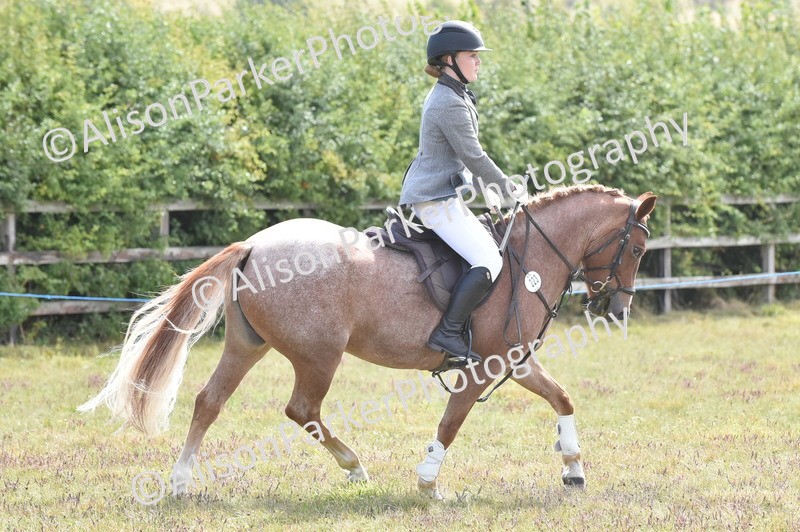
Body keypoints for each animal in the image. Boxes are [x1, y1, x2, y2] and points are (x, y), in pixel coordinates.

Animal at [78, 184, 657, 500]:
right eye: (638, 247)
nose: (617, 308)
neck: (526, 259)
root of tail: (254, 246)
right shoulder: (483, 366)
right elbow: (451, 423)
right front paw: (428, 482)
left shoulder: (513, 361)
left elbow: (563, 398)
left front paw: (574, 468)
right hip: (319, 355)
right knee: (301, 409)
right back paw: (354, 465)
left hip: (248, 346)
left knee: (209, 401)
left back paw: (180, 481)